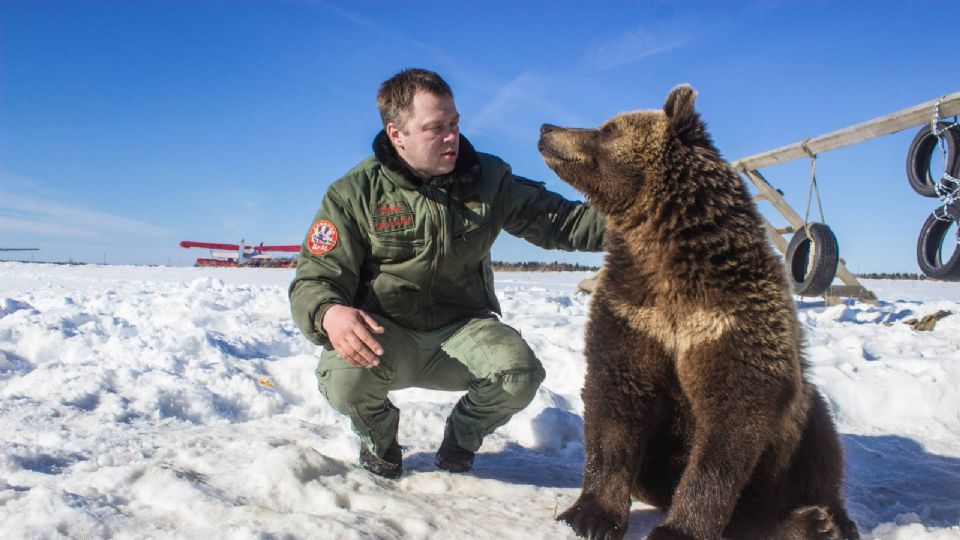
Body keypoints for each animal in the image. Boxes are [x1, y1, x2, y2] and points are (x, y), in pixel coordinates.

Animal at [536, 85, 860, 540]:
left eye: (607, 128)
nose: (546, 128)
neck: (665, 252)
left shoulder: (729, 319)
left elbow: (727, 427)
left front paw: (677, 529)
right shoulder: (633, 310)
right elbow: (614, 404)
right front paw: (588, 515)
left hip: (799, 426)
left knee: (822, 451)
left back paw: (822, 520)